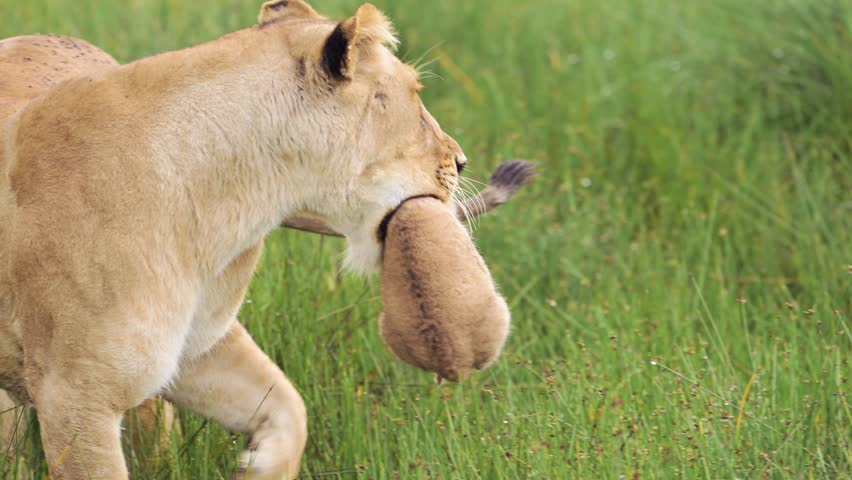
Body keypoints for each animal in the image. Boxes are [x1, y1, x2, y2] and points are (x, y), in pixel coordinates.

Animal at [0, 1, 471, 478]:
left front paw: (258, 465)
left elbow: (288, 406)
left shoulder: (199, 347)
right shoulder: (74, 397)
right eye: (415, 93)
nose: (461, 161)